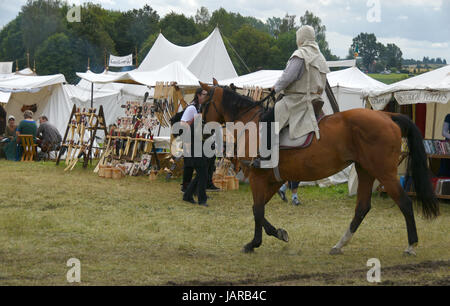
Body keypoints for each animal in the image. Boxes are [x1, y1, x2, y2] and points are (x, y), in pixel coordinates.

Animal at [200, 80, 440, 256]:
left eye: (201, 102)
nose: (201, 130)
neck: (251, 122)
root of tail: (387, 115)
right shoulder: (274, 180)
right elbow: (258, 210)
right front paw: (276, 233)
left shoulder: (258, 177)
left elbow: (257, 210)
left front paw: (255, 243)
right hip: (365, 171)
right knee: (362, 207)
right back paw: (340, 244)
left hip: (384, 173)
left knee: (405, 203)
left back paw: (411, 245)